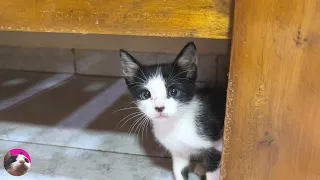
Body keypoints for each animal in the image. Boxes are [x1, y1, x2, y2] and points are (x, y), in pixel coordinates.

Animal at [119, 42, 226, 180]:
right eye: (146, 94)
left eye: (174, 91)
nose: (159, 107)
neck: (175, 124)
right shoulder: (178, 152)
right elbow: (179, 170)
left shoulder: (217, 147)